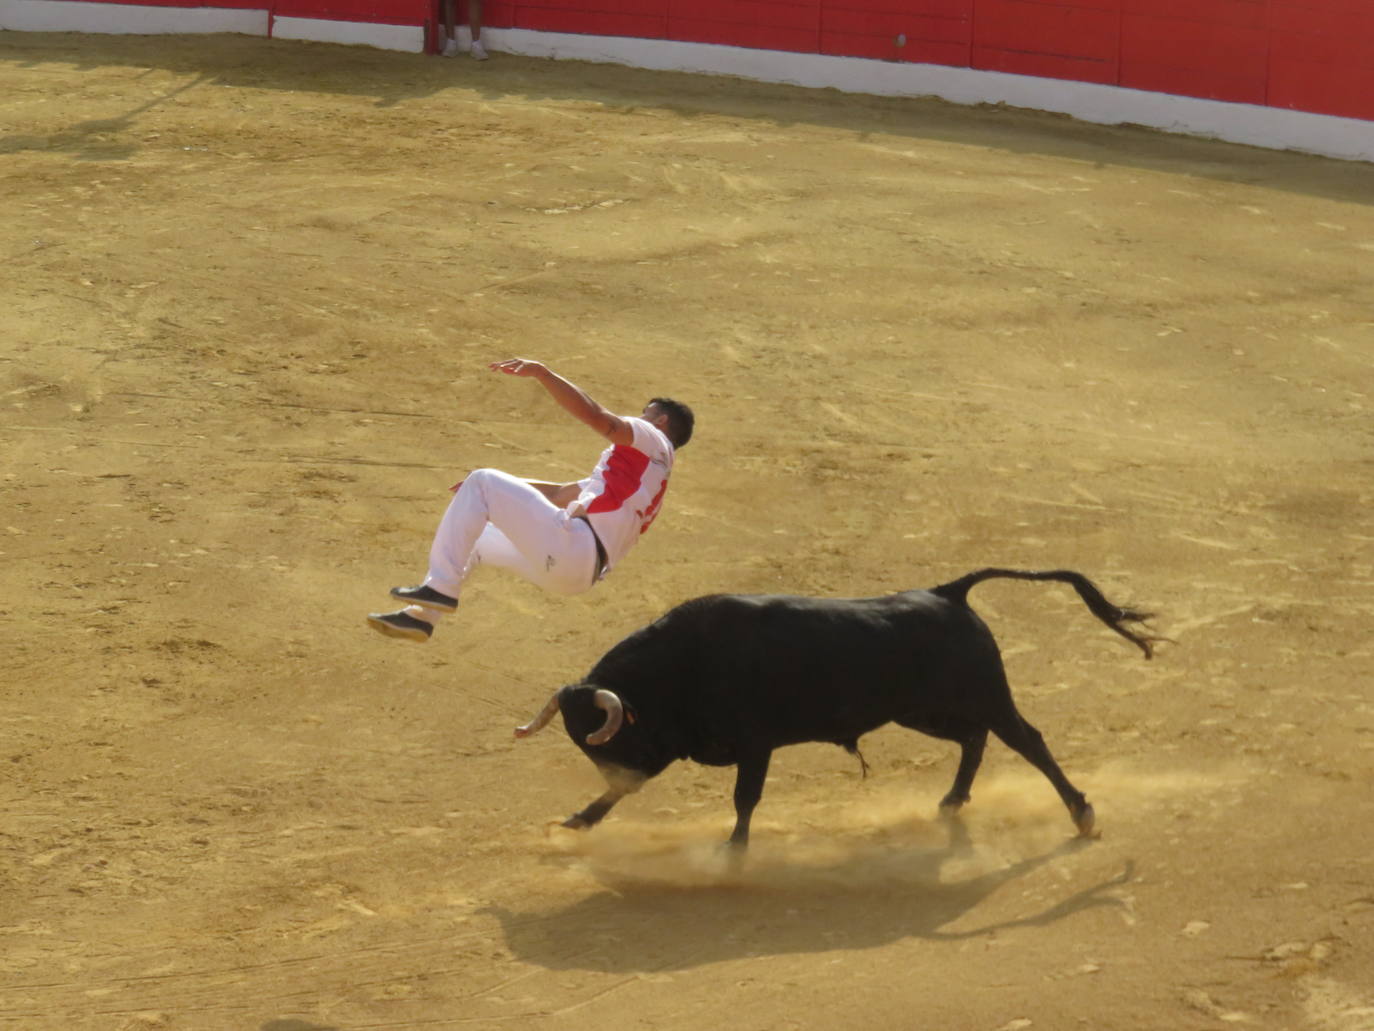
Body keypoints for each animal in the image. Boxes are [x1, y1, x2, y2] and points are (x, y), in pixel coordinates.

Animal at [516, 569, 1159, 852]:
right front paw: (577, 821)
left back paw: (1081, 813)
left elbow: (745, 799)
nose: (623, 772)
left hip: (984, 696)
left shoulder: (755, 745)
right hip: (923, 712)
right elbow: (617, 797)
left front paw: (733, 854)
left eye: (613, 737)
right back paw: (952, 802)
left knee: (1028, 740)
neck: (681, 664)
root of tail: (948, 593)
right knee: (974, 741)